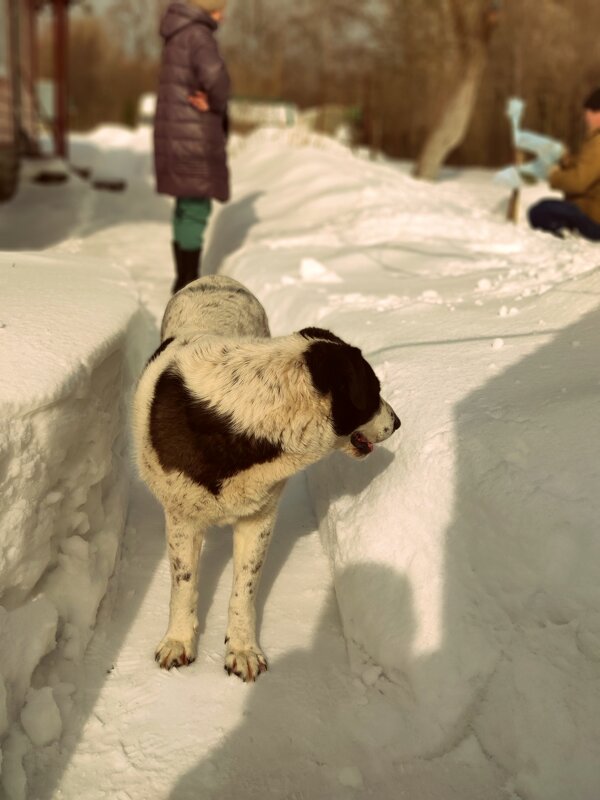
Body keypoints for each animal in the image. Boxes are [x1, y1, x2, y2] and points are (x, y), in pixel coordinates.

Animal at [134, 276, 400, 680]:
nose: (397, 422)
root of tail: (217, 278)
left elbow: (244, 588)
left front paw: (242, 649)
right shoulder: (183, 518)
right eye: (374, 391)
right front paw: (178, 641)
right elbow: (184, 584)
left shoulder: (258, 517)